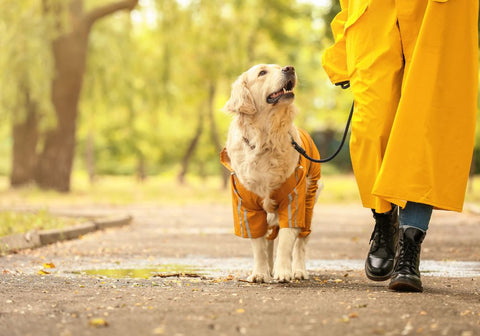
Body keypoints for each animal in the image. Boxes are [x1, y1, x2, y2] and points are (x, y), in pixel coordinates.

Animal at [221, 64, 322, 282]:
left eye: (279, 66)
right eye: (262, 73)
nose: (289, 68)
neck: (265, 139)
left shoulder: (293, 199)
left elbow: (286, 240)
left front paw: (283, 272)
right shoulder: (247, 205)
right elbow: (259, 245)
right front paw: (260, 273)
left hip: (309, 201)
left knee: (301, 242)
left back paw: (298, 270)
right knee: (268, 239)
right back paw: (268, 269)